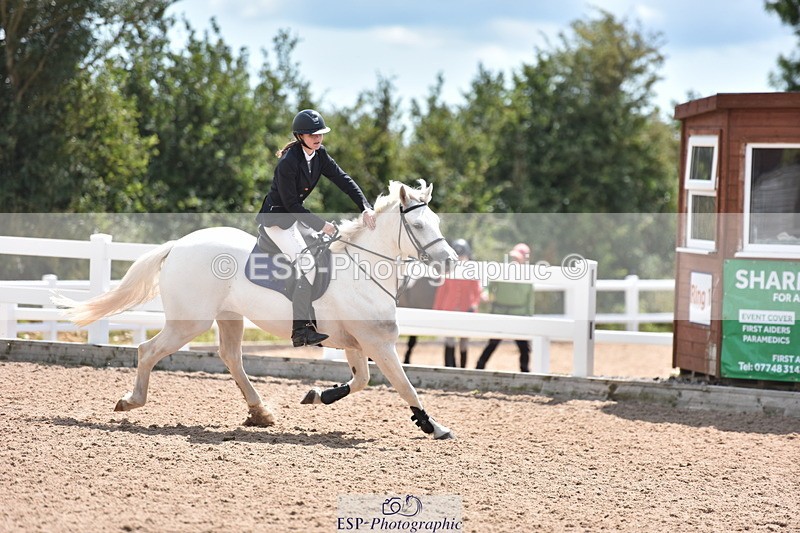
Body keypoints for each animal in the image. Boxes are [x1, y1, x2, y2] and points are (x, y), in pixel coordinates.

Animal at [55, 180, 458, 439]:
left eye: (437, 222)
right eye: (418, 224)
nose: (450, 262)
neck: (363, 267)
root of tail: (178, 245)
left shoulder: (357, 343)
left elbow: (361, 380)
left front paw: (317, 395)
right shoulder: (378, 344)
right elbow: (404, 386)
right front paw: (434, 427)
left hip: (229, 318)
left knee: (231, 357)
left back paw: (260, 412)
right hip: (190, 322)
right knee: (147, 350)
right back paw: (131, 401)